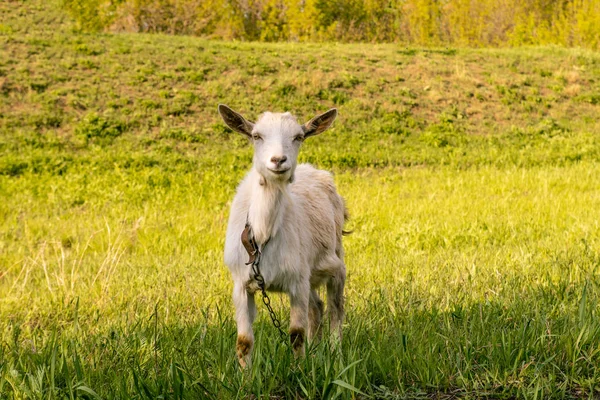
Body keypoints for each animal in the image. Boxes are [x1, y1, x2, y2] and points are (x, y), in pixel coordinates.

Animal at [218, 104, 346, 368]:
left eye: (298, 137)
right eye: (256, 135)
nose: (278, 160)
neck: (262, 235)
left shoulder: (297, 281)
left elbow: (296, 334)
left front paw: (298, 371)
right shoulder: (240, 284)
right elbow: (244, 340)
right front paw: (245, 376)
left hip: (335, 260)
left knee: (335, 308)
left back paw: (336, 355)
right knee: (317, 307)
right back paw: (315, 351)